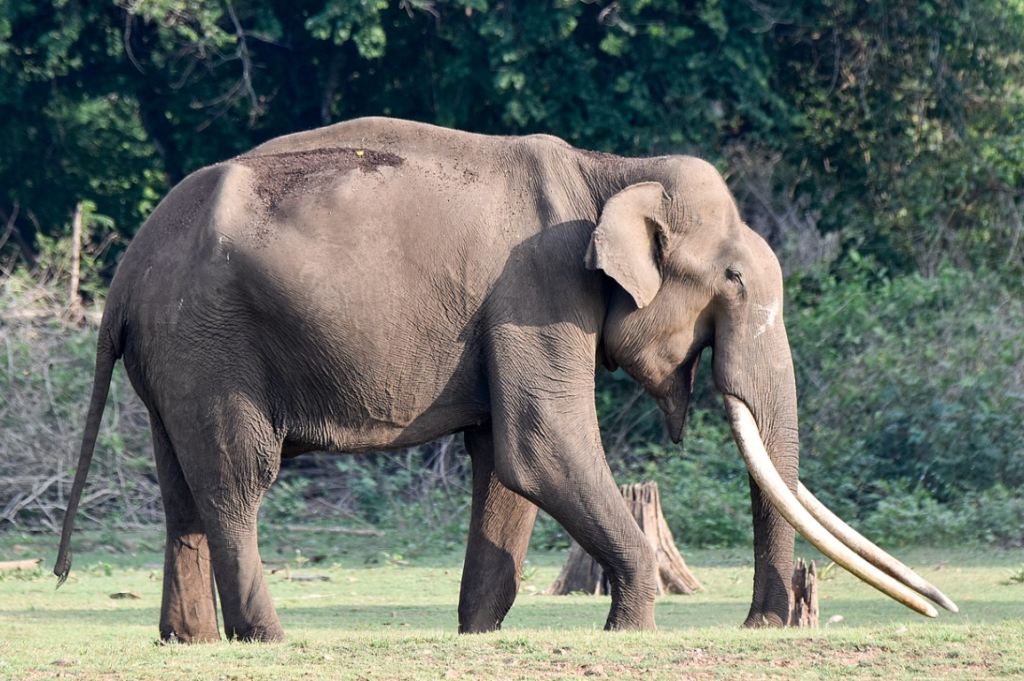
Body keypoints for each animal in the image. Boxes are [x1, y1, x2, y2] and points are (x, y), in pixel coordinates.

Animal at [56, 114, 954, 639]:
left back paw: (189, 640)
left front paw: (478, 633)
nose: (764, 624)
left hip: (175, 356)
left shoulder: (513, 311)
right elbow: (542, 443)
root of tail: (126, 272)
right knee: (237, 479)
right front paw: (630, 629)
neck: (609, 167)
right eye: (732, 280)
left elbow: (504, 460)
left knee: (183, 489)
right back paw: (268, 639)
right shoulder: (539, 286)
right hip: (212, 342)